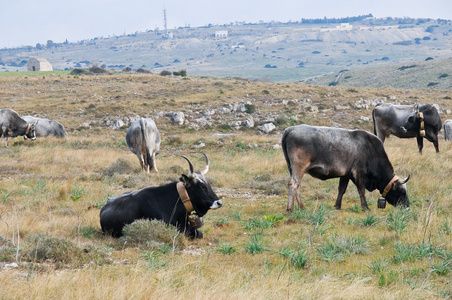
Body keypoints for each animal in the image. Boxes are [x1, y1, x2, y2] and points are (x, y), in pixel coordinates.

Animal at [282, 125, 414, 212]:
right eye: (402, 192)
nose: (407, 207)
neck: (371, 149)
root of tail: (290, 129)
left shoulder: (345, 175)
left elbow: (341, 190)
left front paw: (337, 206)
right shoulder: (359, 174)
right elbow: (361, 191)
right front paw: (365, 207)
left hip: (293, 169)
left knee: (298, 186)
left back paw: (301, 207)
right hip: (299, 168)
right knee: (293, 185)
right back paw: (290, 209)